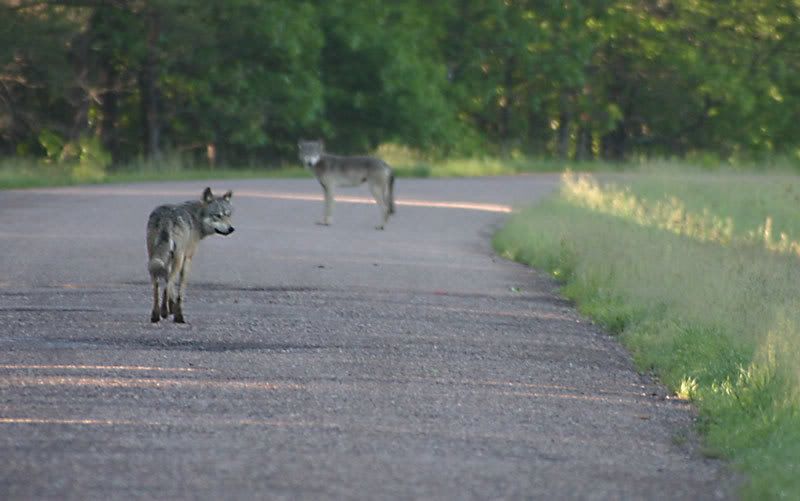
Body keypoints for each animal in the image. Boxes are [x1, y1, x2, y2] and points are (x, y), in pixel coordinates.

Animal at [146, 187, 235, 323]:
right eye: (217, 216)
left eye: (228, 215)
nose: (231, 229)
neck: (196, 218)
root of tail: (166, 217)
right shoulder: (187, 259)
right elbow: (179, 292)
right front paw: (176, 312)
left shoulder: (168, 261)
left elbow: (169, 289)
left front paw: (170, 308)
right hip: (177, 260)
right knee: (168, 283)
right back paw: (169, 313)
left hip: (153, 260)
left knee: (157, 286)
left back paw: (156, 315)